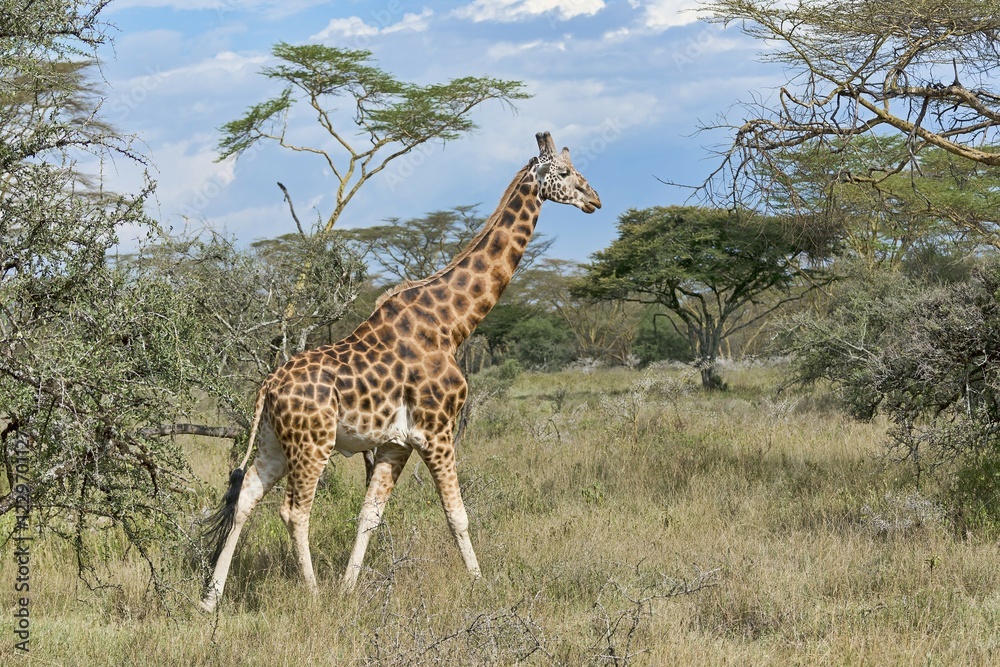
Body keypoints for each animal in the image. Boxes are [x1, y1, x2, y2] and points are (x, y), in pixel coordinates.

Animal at [199, 131, 601, 612]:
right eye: (563, 172)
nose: (595, 199)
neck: (452, 325)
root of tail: (267, 386)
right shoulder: (437, 430)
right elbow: (458, 515)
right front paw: (481, 585)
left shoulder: (396, 443)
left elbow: (369, 516)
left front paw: (349, 589)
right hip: (313, 443)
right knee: (294, 511)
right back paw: (312, 596)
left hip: (274, 443)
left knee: (244, 500)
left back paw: (209, 601)